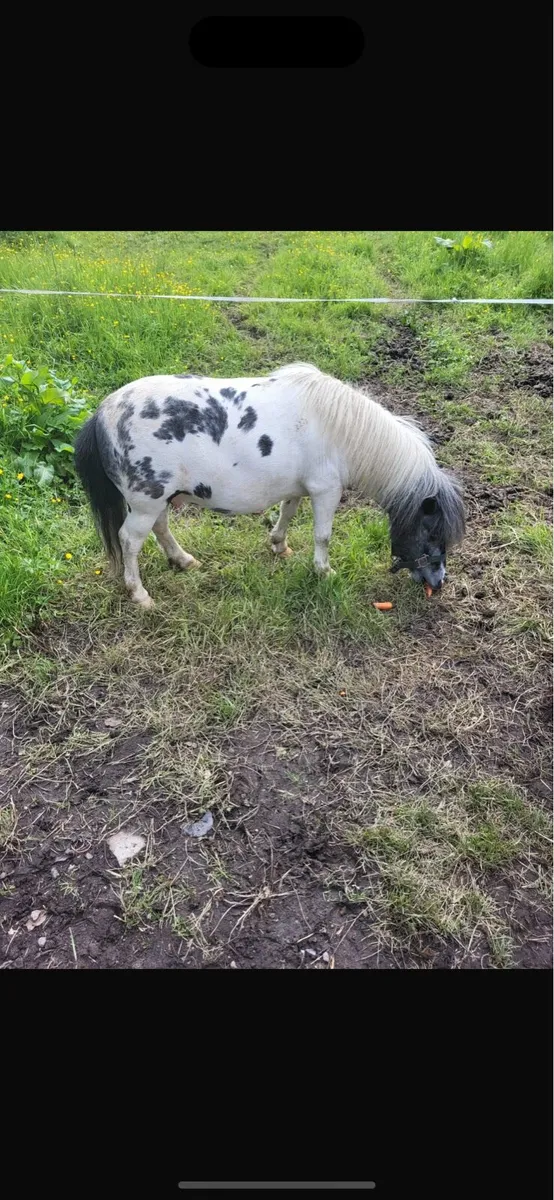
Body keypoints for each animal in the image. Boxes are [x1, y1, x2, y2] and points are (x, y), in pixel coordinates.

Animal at [74, 362, 465, 609]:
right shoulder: (326, 491)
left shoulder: (298, 488)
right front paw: (324, 572)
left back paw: (183, 560)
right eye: (433, 534)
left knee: (160, 529)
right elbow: (323, 536)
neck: (340, 429)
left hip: (157, 501)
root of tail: (102, 414)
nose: (438, 582)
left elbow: (287, 514)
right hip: (146, 502)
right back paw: (140, 595)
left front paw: (279, 546)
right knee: (130, 541)